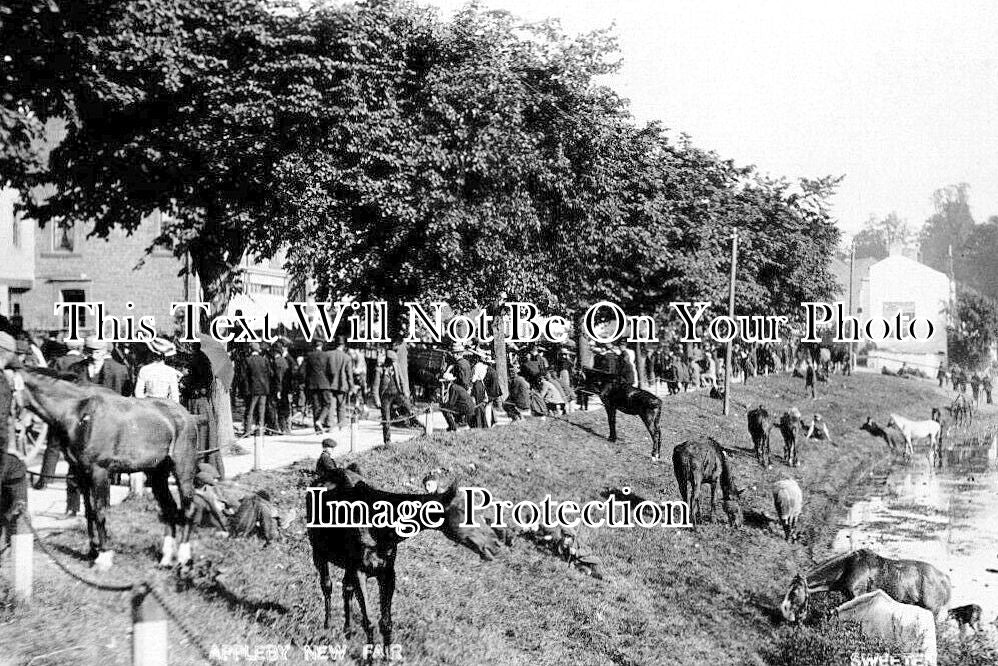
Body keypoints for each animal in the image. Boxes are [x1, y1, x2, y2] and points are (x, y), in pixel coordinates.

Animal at [17, 368, 199, 564]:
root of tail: (186, 415)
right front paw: (92, 551)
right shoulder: (82, 473)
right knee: (169, 509)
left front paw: (103, 556)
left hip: (182, 469)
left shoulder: (100, 472)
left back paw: (184, 557)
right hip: (157, 474)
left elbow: (100, 511)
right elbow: (89, 512)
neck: (79, 413)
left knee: (188, 508)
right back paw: (165, 559)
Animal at [308, 464, 500, 644]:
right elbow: (368, 621)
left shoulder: (386, 571)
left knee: (345, 587)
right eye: (464, 510)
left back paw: (347, 630)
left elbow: (385, 623)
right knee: (327, 585)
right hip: (318, 551)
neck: (381, 529)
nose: (495, 544)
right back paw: (328, 626)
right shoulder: (359, 571)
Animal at [780, 544, 952, 624]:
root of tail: (944, 578)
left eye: (794, 593)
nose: (784, 610)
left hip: (933, 611)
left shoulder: (858, 595)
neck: (848, 566)